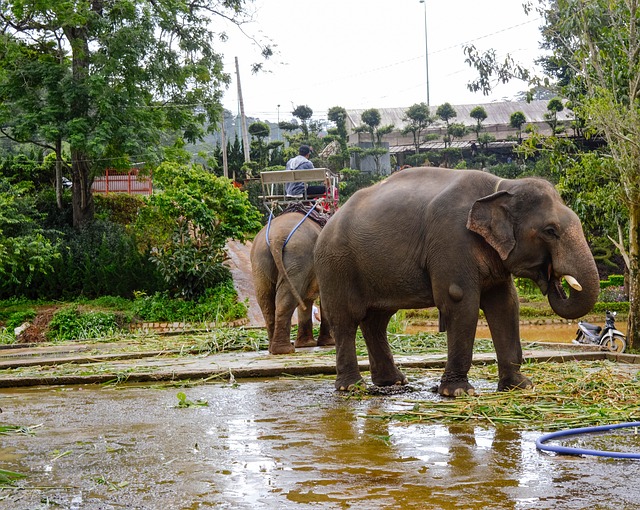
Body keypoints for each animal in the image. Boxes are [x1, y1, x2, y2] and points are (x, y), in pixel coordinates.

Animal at [251, 209, 336, 352]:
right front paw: (329, 343)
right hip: (297, 256)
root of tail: (276, 237)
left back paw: (273, 349)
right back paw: (285, 350)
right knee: (287, 299)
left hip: (260, 260)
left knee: (265, 300)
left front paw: (307, 345)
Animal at [316, 166, 600, 394]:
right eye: (550, 231)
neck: (502, 186)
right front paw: (458, 392)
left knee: (376, 320)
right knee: (346, 318)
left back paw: (394, 382)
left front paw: (521, 386)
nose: (555, 280)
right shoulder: (452, 240)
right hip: (336, 265)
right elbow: (460, 301)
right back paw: (352, 387)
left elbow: (507, 304)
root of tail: (328, 221)